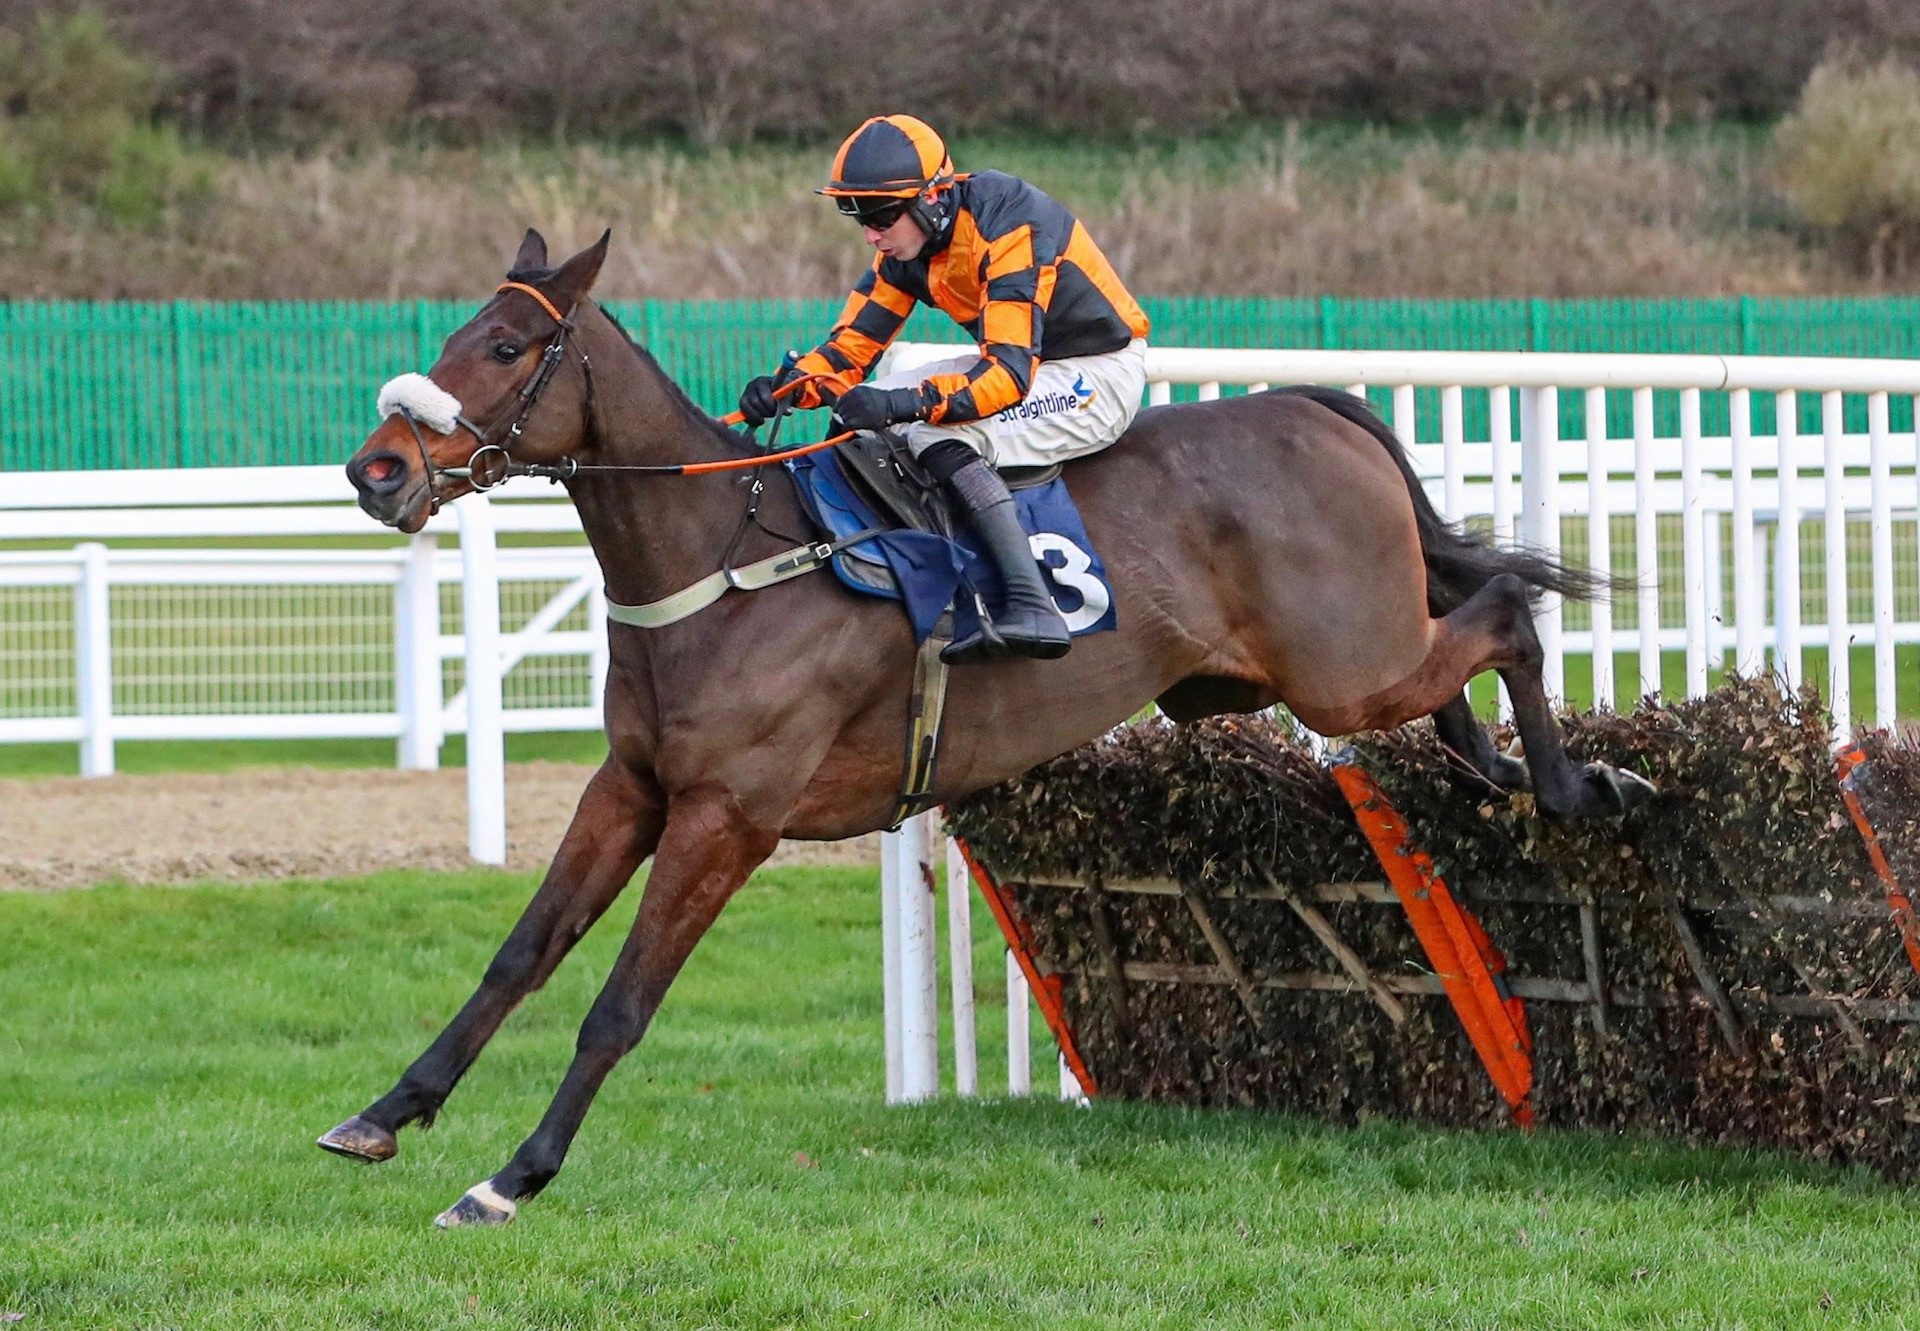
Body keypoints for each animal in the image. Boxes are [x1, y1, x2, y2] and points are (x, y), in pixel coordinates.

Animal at [330, 225, 1651, 1221]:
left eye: (506, 345)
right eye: (448, 340)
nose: (375, 470)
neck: (724, 561)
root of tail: (1322, 407)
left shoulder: (729, 816)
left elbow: (618, 1003)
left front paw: (512, 1175)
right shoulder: (634, 786)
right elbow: (519, 954)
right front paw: (386, 1112)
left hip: (1340, 668)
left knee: (1504, 612)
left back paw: (1577, 784)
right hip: (1292, 669)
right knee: (1456, 654)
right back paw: (1513, 769)